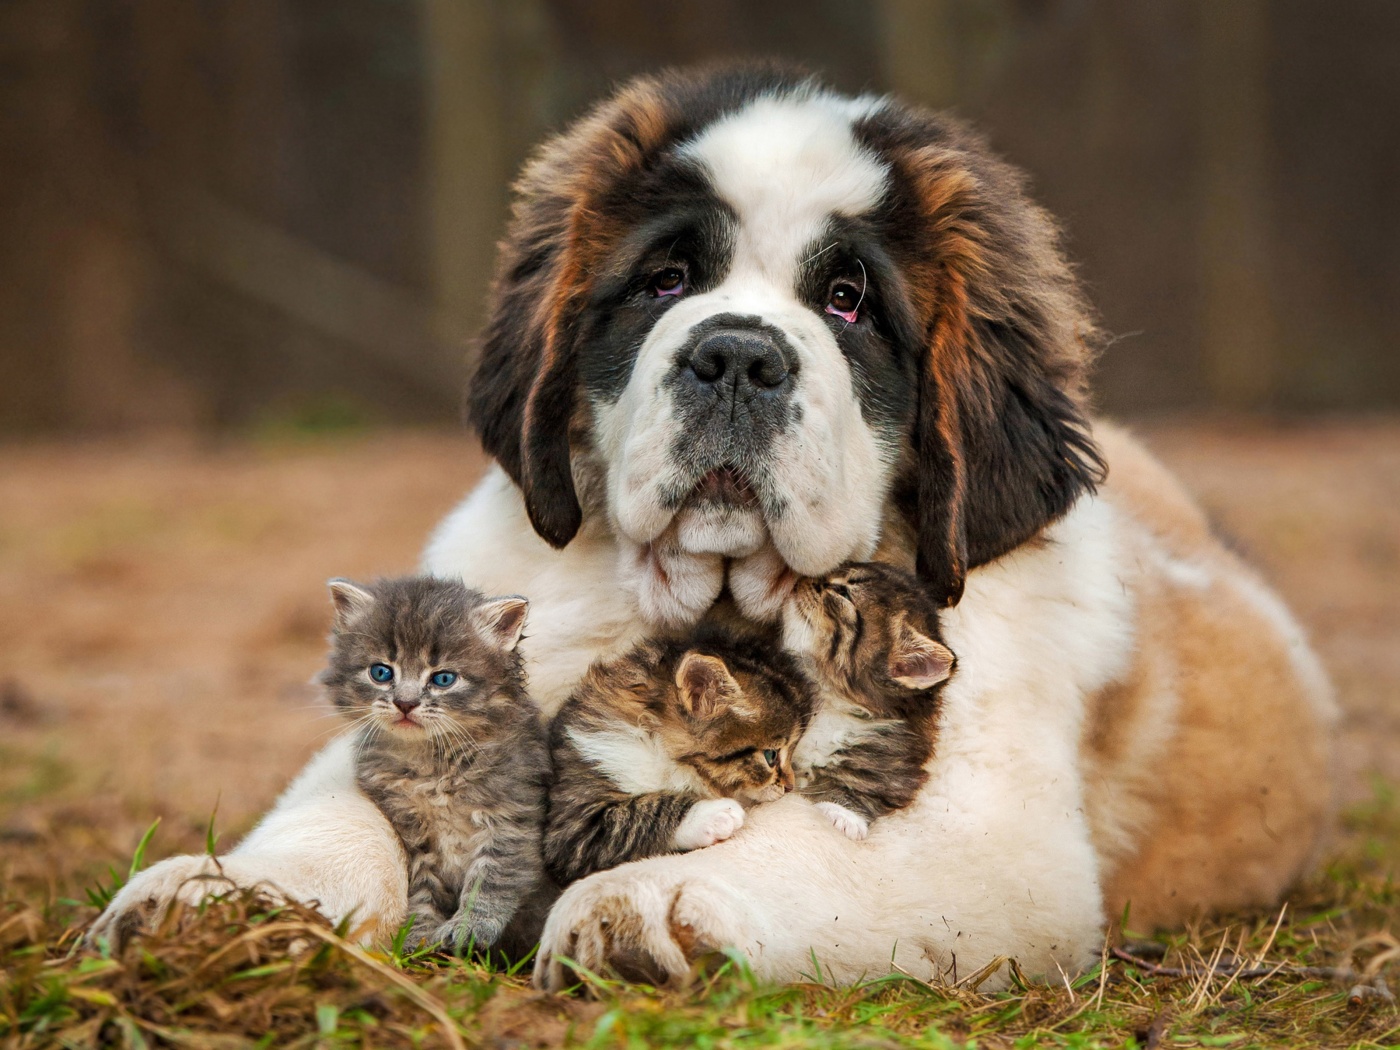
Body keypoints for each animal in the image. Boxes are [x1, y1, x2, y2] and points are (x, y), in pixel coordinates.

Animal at [320, 579, 551, 957]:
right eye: (381, 673)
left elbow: (491, 879)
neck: (431, 763)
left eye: (443, 679)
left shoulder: (510, 819)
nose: (405, 703)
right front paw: (418, 935)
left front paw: (469, 928)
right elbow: (422, 890)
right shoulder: (414, 836)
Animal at [543, 630, 817, 890]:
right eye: (771, 755)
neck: (659, 750)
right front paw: (713, 814)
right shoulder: (574, 828)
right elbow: (641, 812)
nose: (789, 786)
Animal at [784, 562, 957, 845]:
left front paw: (844, 815)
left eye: (843, 592)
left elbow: (864, 788)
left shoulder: (893, 765)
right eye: (840, 569)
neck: (832, 701)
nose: (803, 579)